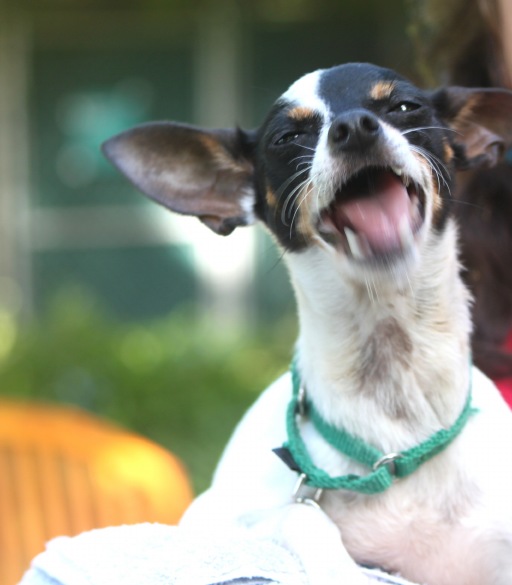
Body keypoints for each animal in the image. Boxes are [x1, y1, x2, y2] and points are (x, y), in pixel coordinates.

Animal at [102, 64, 512, 584]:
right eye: (288, 137)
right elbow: (299, 514)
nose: (354, 127)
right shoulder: (209, 520)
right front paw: (343, 570)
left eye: (405, 107)